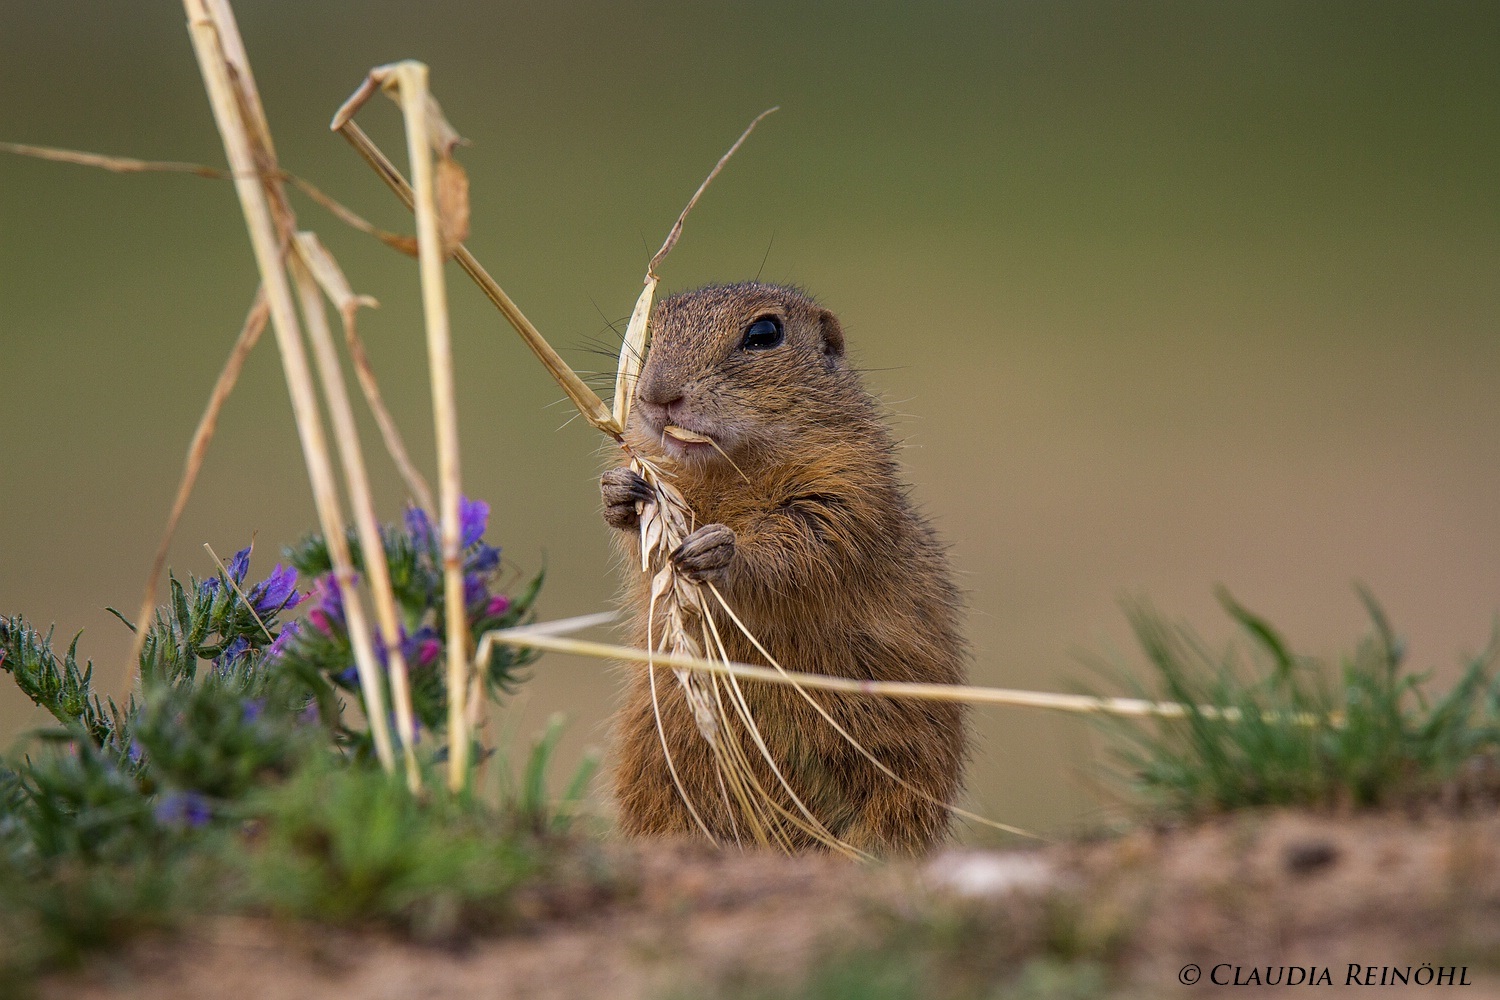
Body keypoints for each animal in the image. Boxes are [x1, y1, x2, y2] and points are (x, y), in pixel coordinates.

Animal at [600, 280, 966, 851]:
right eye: (652, 329)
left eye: (764, 333)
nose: (658, 396)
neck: (727, 466)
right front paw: (619, 492)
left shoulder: (846, 489)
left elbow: (803, 548)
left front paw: (717, 550)